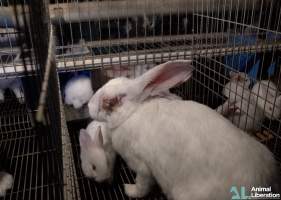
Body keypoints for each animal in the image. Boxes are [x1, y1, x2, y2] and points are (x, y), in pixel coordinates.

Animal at [87, 61, 278, 200]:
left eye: (110, 102)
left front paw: (129, 190)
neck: (132, 112)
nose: (89, 106)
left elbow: (142, 185)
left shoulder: (142, 166)